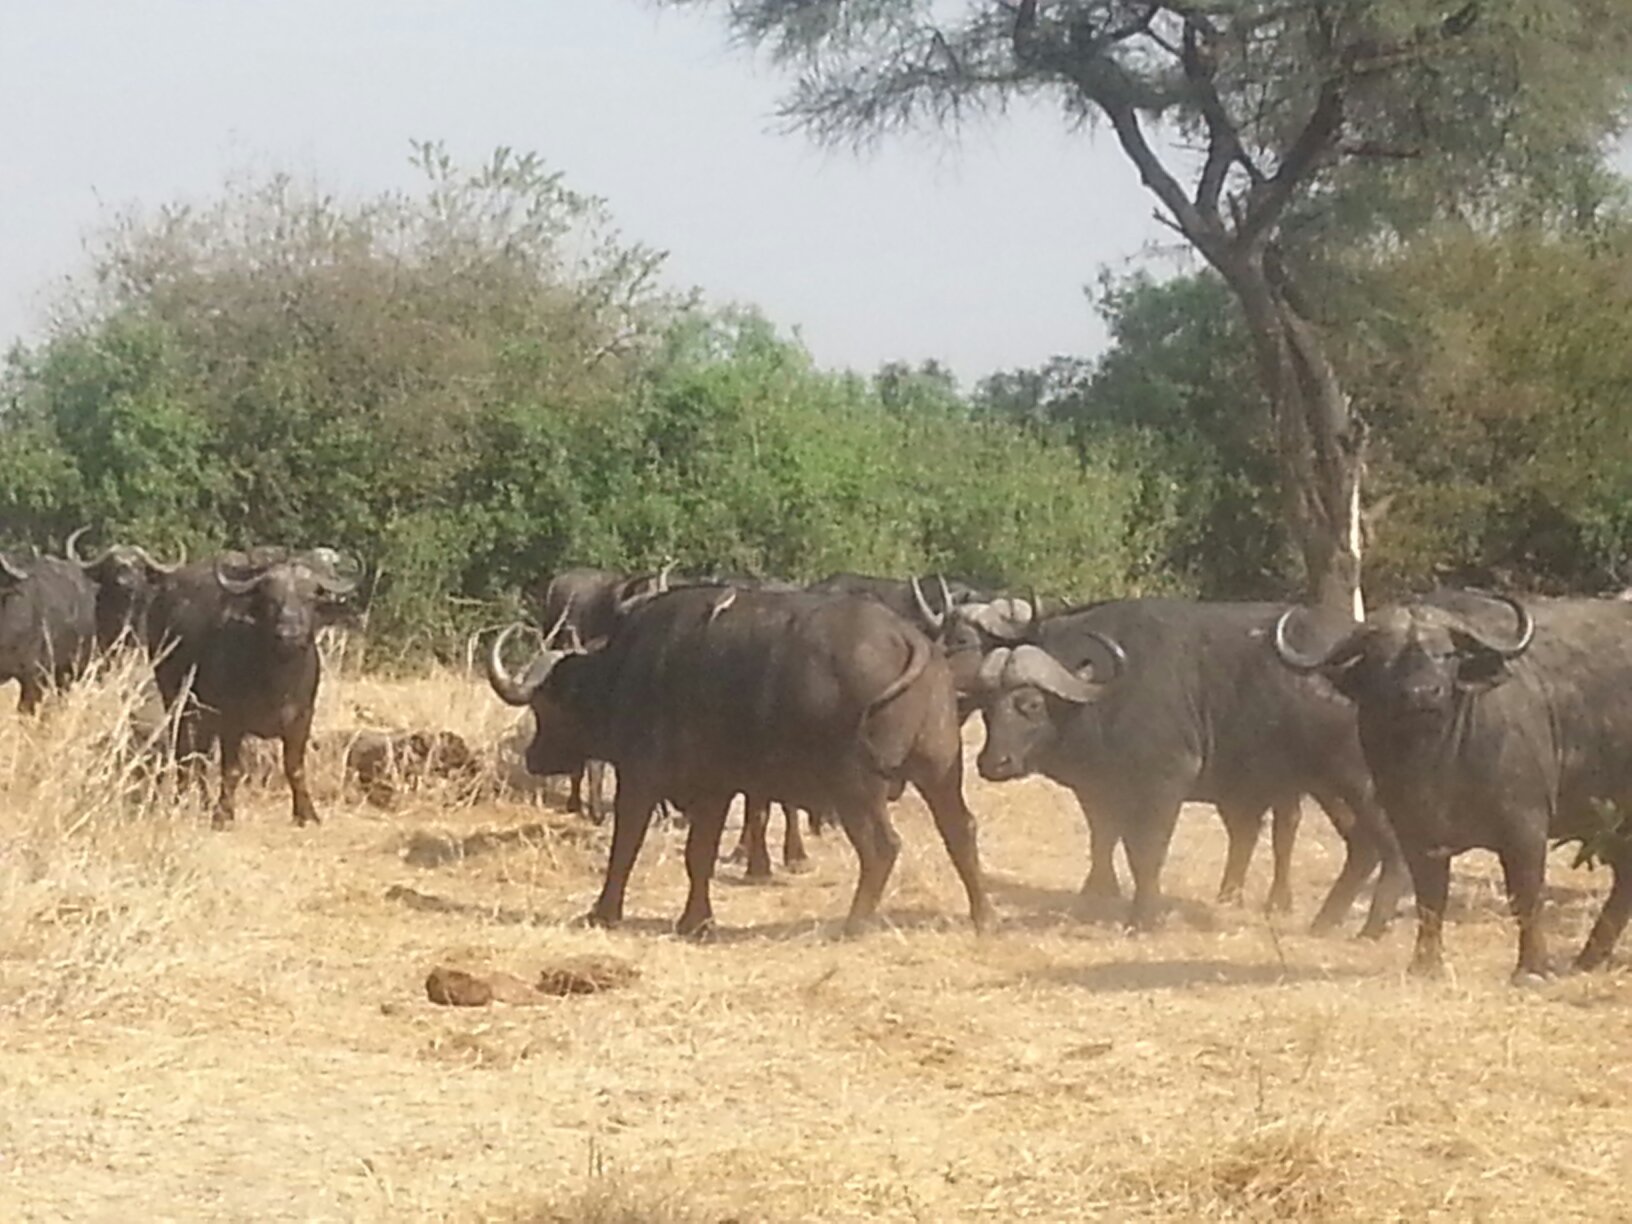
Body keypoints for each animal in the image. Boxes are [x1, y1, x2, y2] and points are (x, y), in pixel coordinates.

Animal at [486, 584, 993, 935]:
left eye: (546, 707)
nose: (534, 757)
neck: (627, 672)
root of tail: (910, 640)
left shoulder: (641, 779)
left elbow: (625, 846)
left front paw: (603, 912)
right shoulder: (715, 788)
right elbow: (699, 855)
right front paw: (696, 922)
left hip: (857, 786)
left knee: (882, 847)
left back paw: (854, 923)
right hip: (941, 773)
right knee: (961, 831)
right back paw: (983, 915)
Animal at [973, 598, 1407, 935]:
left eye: (1029, 703)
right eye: (987, 706)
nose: (993, 763)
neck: (1105, 696)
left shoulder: (1164, 783)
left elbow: (1147, 852)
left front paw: (1144, 918)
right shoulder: (1099, 790)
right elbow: (1106, 841)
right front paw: (1097, 898)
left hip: (1360, 782)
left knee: (1389, 845)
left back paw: (1371, 926)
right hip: (1326, 785)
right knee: (1362, 846)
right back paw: (1325, 921)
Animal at [1273, 590, 1632, 982]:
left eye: (1445, 654)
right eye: (1383, 658)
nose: (1422, 693)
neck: (1437, 763)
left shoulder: (1526, 828)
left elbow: (1525, 895)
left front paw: (1532, 968)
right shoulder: (1414, 832)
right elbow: (1430, 898)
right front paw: (1425, 964)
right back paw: (1589, 958)